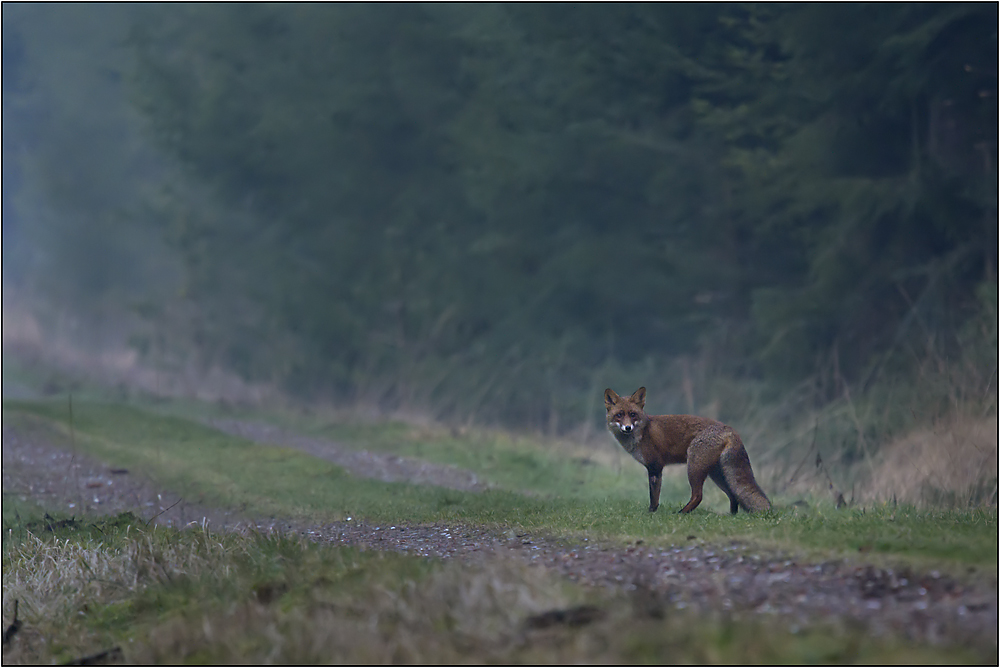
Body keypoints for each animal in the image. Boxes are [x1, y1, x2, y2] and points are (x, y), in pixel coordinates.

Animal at [600, 388, 772, 516]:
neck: (642, 433)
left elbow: (654, 497)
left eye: (633, 414)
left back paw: (682, 513)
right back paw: (731, 516)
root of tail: (731, 430)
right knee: (733, 494)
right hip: (717, 474)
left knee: (698, 496)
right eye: (619, 415)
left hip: (694, 467)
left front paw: (651, 514)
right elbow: (653, 495)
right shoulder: (654, 468)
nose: (628, 427)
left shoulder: (655, 467)